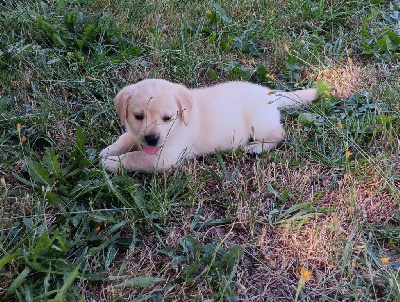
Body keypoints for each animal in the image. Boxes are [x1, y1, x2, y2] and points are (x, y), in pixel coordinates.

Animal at [99, 78, 316, 172]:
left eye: (167, 118)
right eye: (138, 116)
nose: (152, 139)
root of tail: (271, 94)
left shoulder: (166, 158)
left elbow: (137, 157)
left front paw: (112, 162)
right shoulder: (136, 134)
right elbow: (126, 138)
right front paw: (109, 150)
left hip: (260, 124)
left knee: (279, 134)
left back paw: (256, 147)